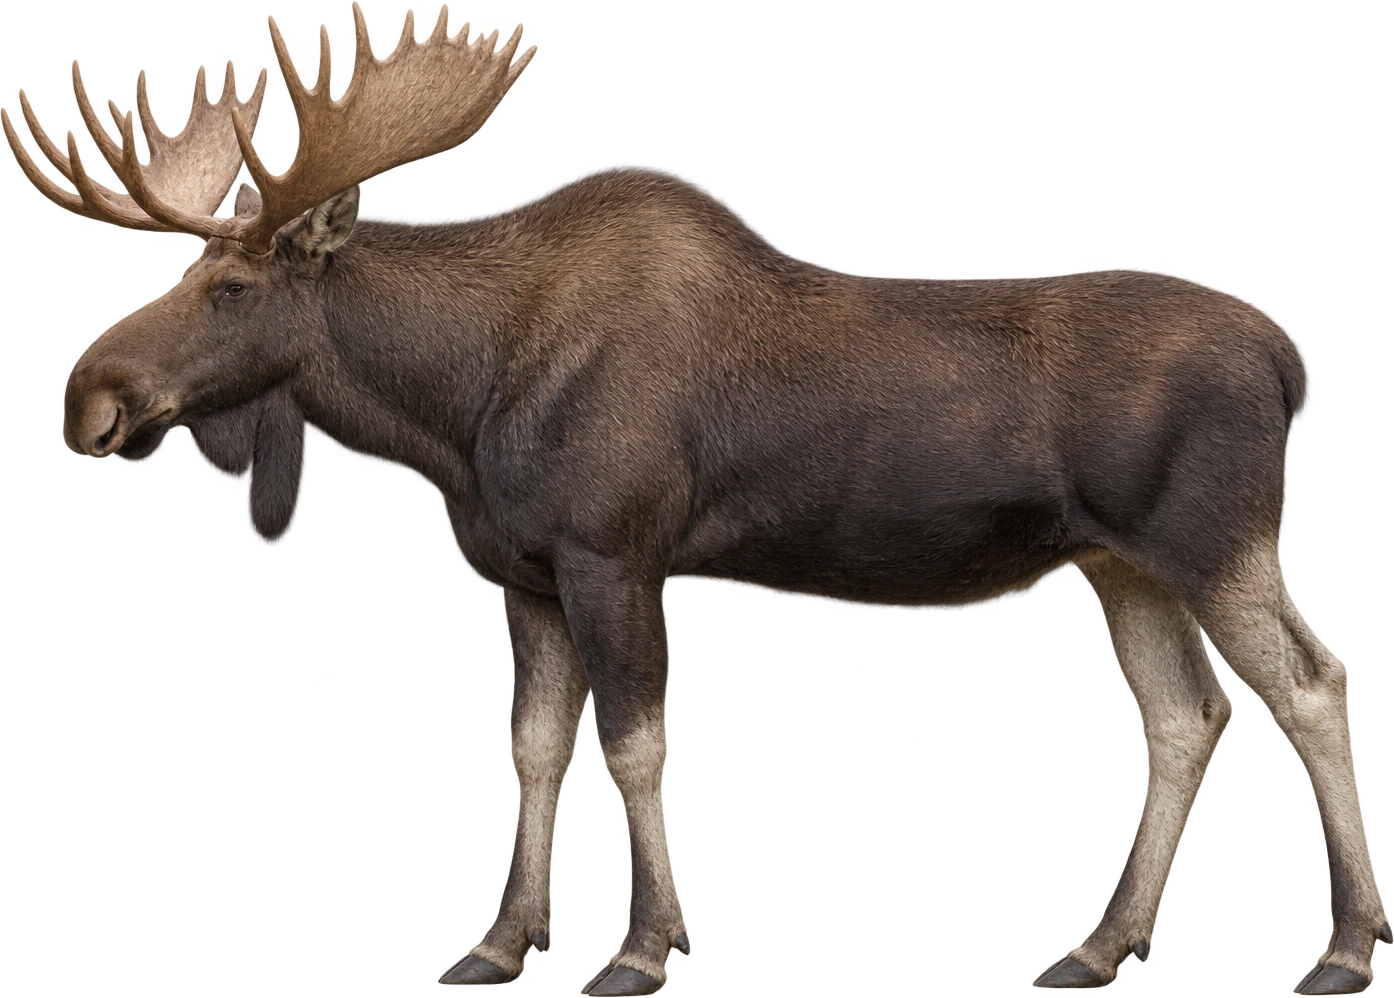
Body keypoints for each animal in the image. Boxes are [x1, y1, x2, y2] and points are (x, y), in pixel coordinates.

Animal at [4, 4, 1389, 995]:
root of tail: (1283, 360)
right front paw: (494, 940)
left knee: (1310, 683)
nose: (89, 399)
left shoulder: (613, 550)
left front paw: (637, 945)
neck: (455, 408)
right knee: (1180, 715)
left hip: (1210, 537)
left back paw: (1339, 945)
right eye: (180, 270)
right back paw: (1094, 944)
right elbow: (532, 747)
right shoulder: (520, 578)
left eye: (232, 286)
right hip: (1116, 562)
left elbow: (634, 739)